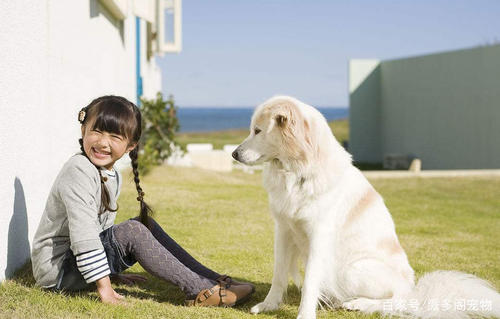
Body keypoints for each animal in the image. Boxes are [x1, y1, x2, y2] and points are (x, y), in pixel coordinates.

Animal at [232, 96, 500, 319]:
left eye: (257, 131)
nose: (234, 154)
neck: (297, 174)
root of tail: (415, 290)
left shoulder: (319, 236)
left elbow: (310, 282)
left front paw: (305, 315)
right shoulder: (284, 229)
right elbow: (278, 274)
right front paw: (268, 306)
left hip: (352, 270)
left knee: (400, 300)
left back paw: (359, 303)